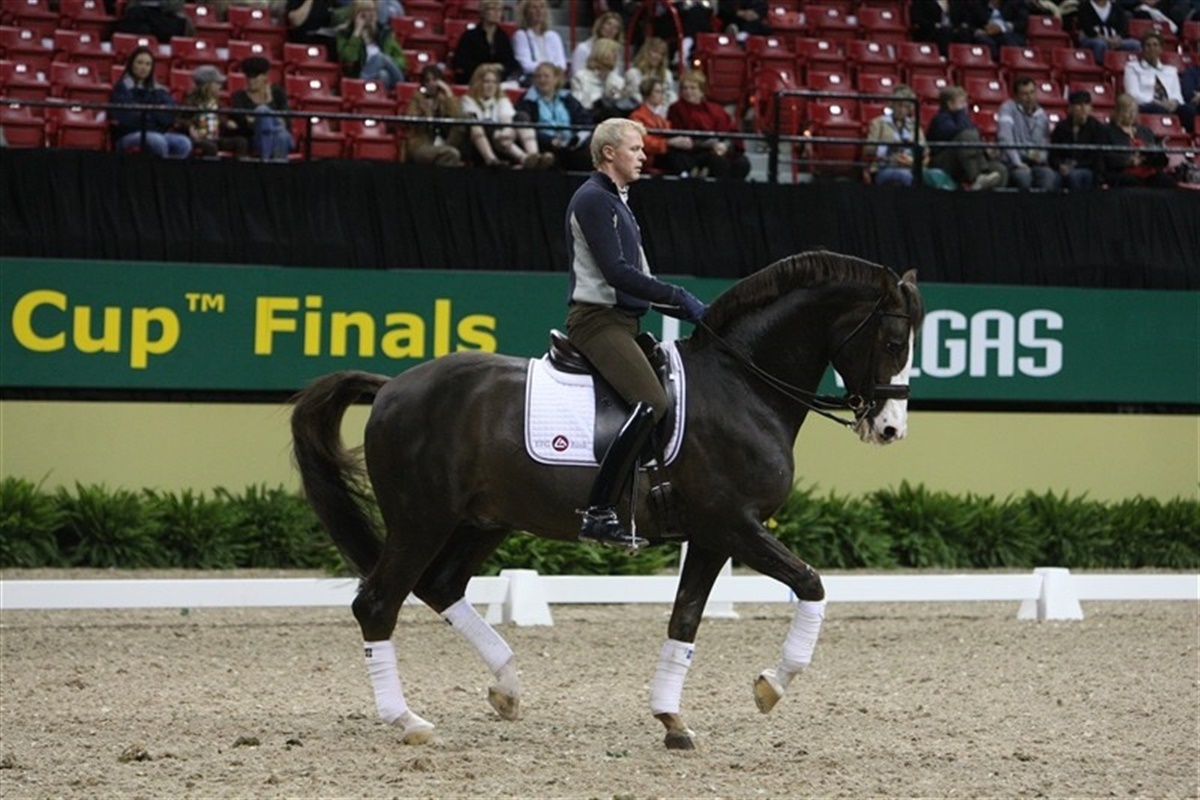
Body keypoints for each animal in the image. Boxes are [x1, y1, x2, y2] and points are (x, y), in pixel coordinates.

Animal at [290, 250, 924, 750]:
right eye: (893, 341)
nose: (891, 429)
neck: (743, 385)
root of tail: (392, 387)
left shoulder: (713, 536)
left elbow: (686, 618)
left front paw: (672, 721)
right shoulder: (736, 525)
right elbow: (811, 585)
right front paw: (771, 685)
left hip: (483, 521)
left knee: (440, 586)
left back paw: (507, 687)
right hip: (421, 519)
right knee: (378, 603)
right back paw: (407, 720)